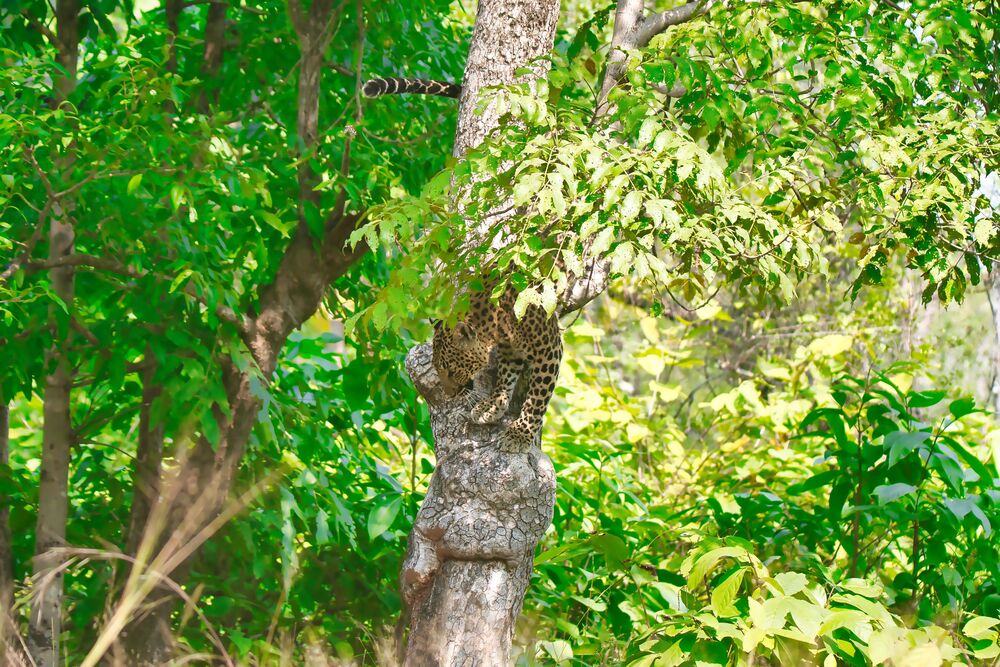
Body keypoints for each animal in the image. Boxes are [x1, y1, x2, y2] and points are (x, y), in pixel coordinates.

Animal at [432, 283, 563, 453]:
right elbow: (506, 376)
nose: (450, 396)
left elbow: (536, 400)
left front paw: (519, 434)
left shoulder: (548, 350)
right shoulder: (510, 349)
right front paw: (491, 406)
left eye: (452, 371)